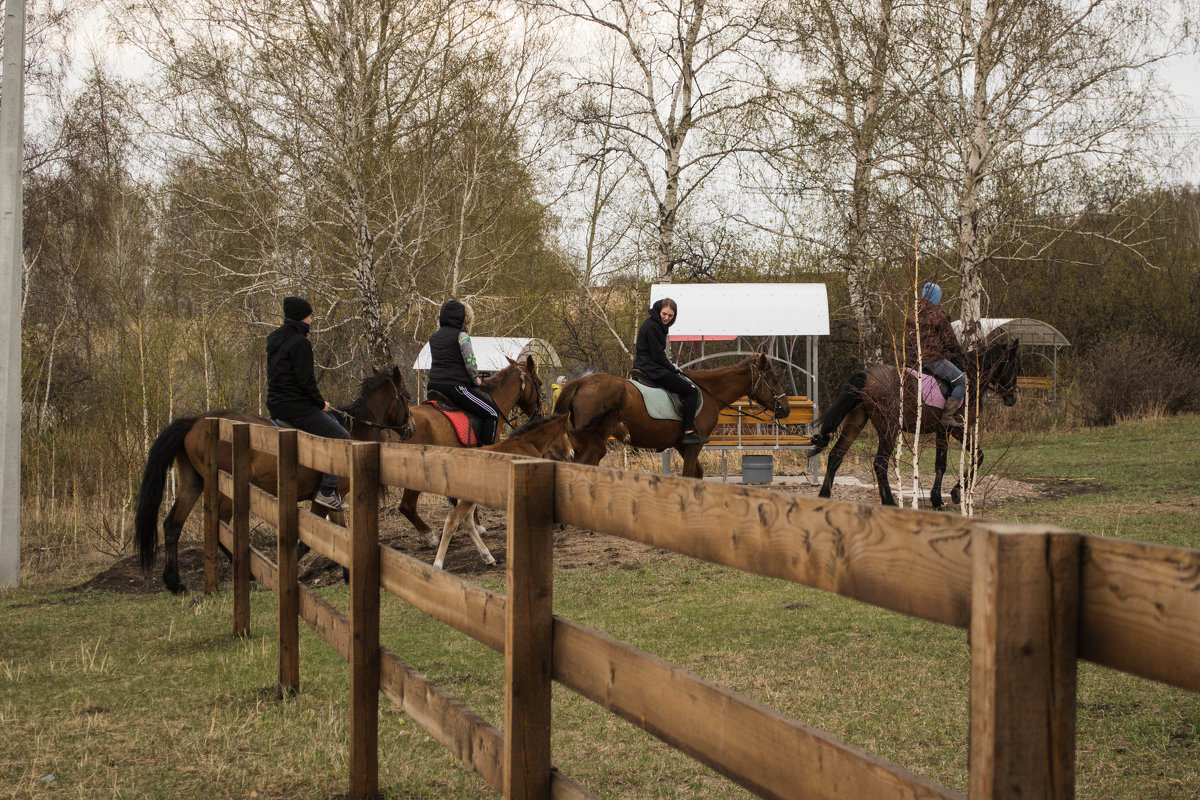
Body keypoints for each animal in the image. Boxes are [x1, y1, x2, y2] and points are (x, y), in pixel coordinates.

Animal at [136, 367, 412, 592]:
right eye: (406, 397)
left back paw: (174, 582)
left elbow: (339, 536)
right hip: (226, 491)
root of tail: (195, 421)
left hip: (192, 483)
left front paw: (347, 575)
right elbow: (309, 543)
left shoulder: (330, 500)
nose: (411, 429)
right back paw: (247, 574)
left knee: (172, 525)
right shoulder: (324, 498)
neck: (352, 434)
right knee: (219, 527)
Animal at [549, 352, 787, 479]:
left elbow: (697, 473)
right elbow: (688, 475)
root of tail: (580, 382)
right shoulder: (693, 445)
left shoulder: (683, 445)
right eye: (774, 379)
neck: (708, 391)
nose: (785, 409)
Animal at [811, 340, 1017, 510]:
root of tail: (867, 375)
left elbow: (945, 463)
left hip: (856, 420)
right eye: (1014, 366)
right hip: (889, 428)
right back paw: (890, 502)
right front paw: (953, 492)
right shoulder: (955, 428)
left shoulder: (942, 431)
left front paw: (941, 497)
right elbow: (972, 457)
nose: (1013, 399)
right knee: (880, 463)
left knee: (836, 455)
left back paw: (824, 496)